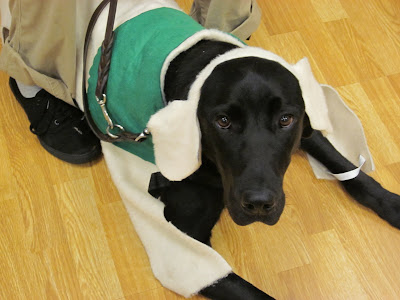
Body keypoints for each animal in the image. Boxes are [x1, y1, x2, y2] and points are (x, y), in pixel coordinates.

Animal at [153, 40, 400, 300]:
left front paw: (393, 204)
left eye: (285, 119)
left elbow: (343, 165)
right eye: (223, 121)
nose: (259, 203)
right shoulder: (183, 246)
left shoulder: (305, 126)